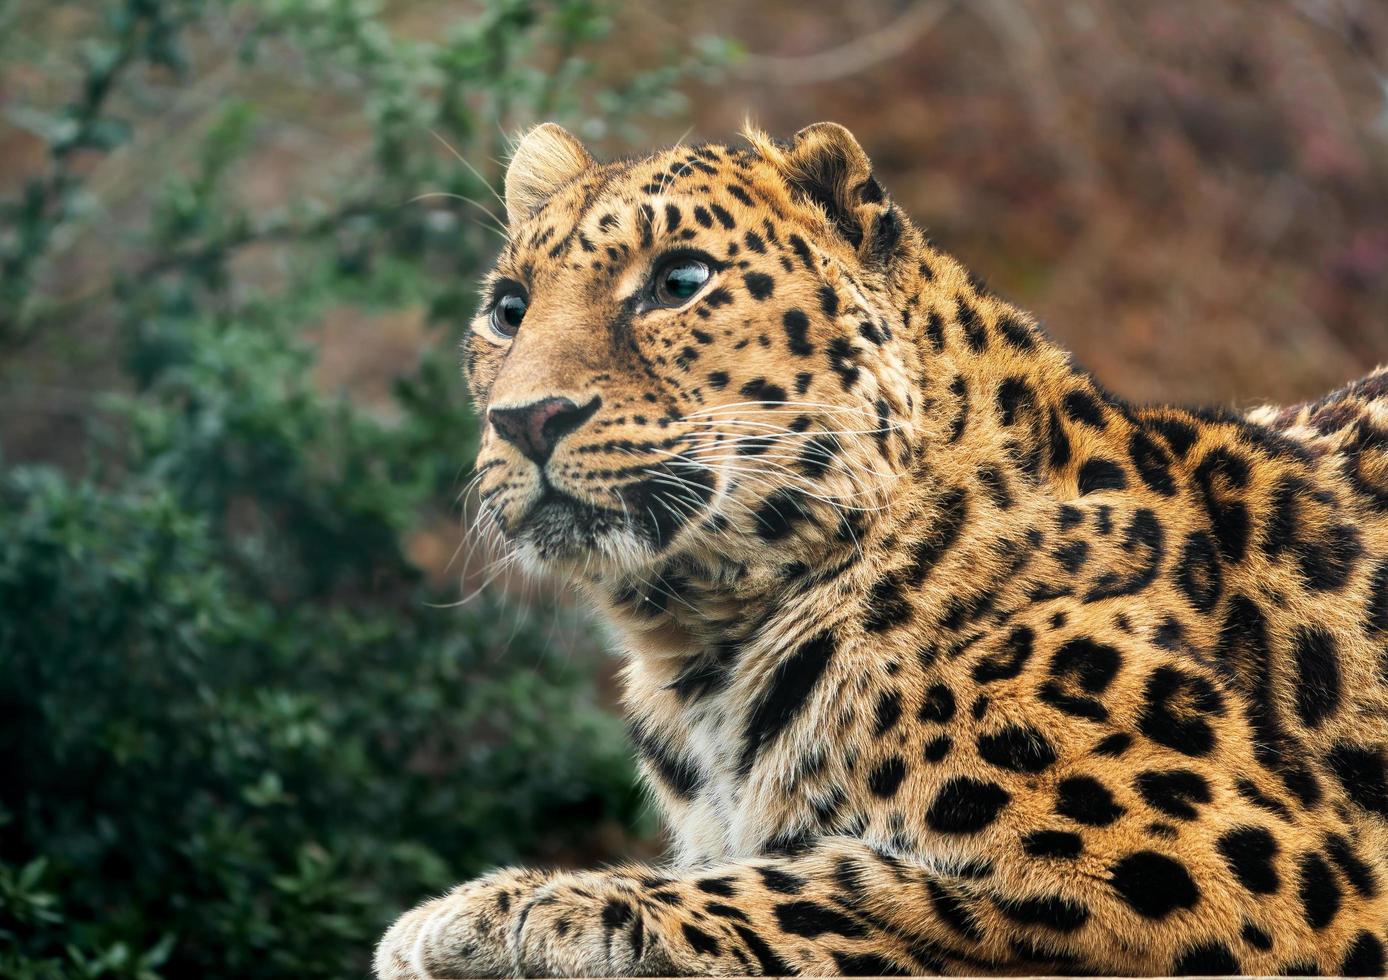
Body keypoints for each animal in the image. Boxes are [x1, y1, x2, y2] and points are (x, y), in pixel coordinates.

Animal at [374, 117, 1388, 971]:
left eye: (680, 282)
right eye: (508, 309)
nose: (526, 419)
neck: (706, 645)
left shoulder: (1259, 881)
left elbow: (842, 886)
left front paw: (510, 912)